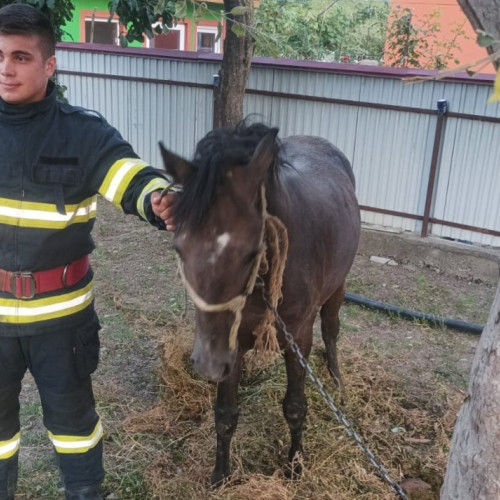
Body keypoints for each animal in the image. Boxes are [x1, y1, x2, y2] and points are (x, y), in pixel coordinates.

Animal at [160, 121, 360, 484]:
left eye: (251, 253)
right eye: (179, 248)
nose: (208, 365)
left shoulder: (298, 338)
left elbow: (295, 406)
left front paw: (295, 466)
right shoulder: (232, 343)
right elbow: (225, 414)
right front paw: (221, 474)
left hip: (338, 286)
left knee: (332, 329)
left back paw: (337, 380)